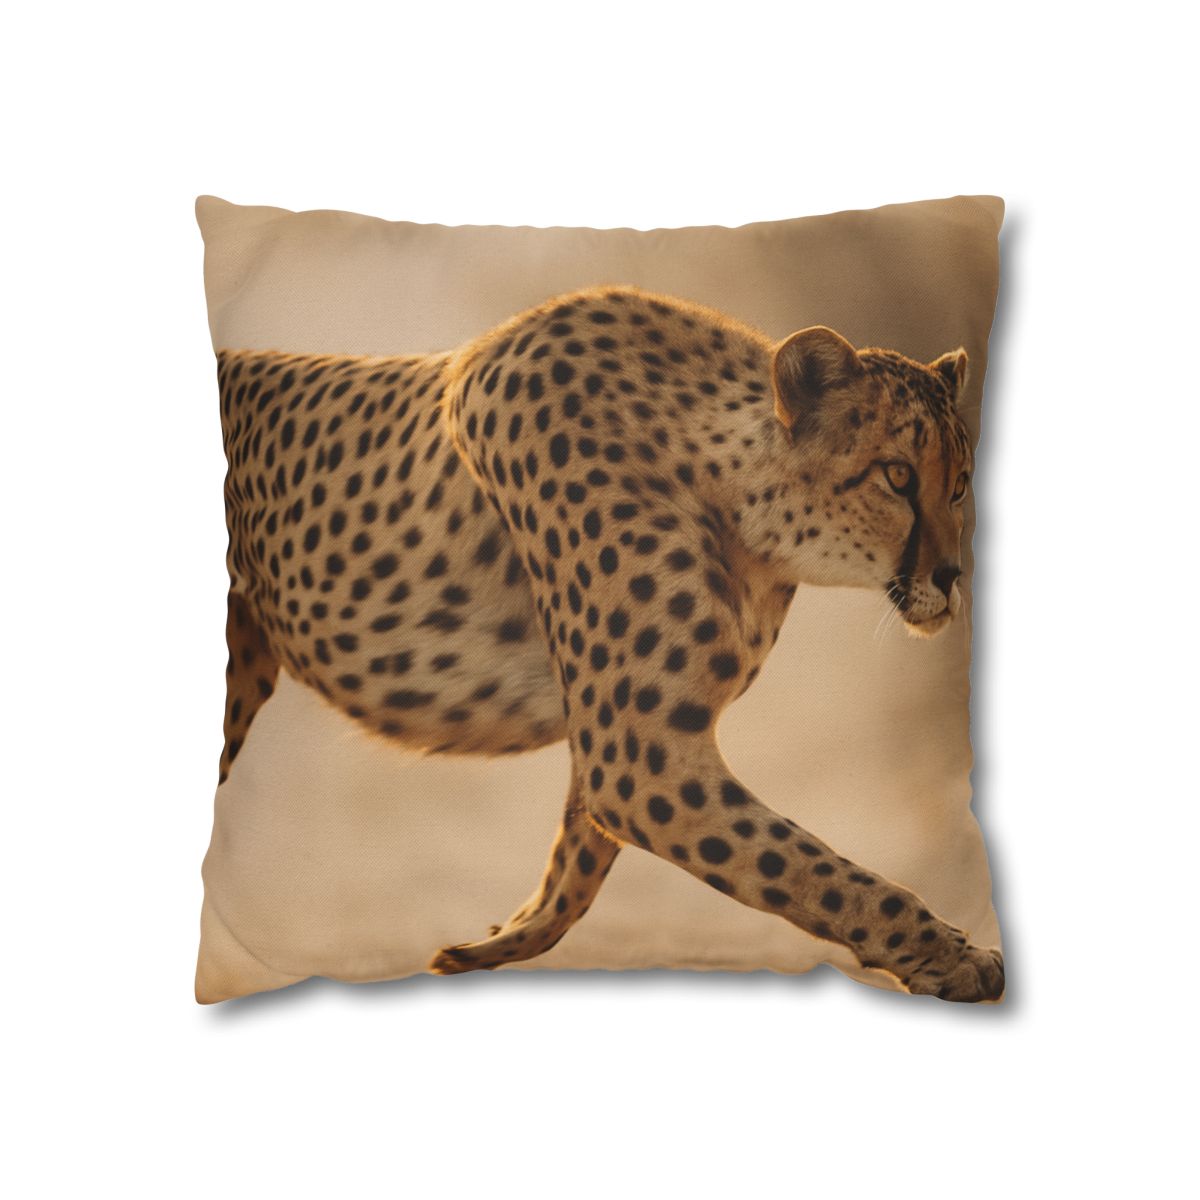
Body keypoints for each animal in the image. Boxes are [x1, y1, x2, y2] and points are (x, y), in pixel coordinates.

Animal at [215, 284, 1003, 1002]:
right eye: (897, 476)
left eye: (961, 485)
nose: (952, 577)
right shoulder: (637, 756)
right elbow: (812, 870)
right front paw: (954, 956)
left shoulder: (620, 739)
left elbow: (579, 860)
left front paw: (491, 944)